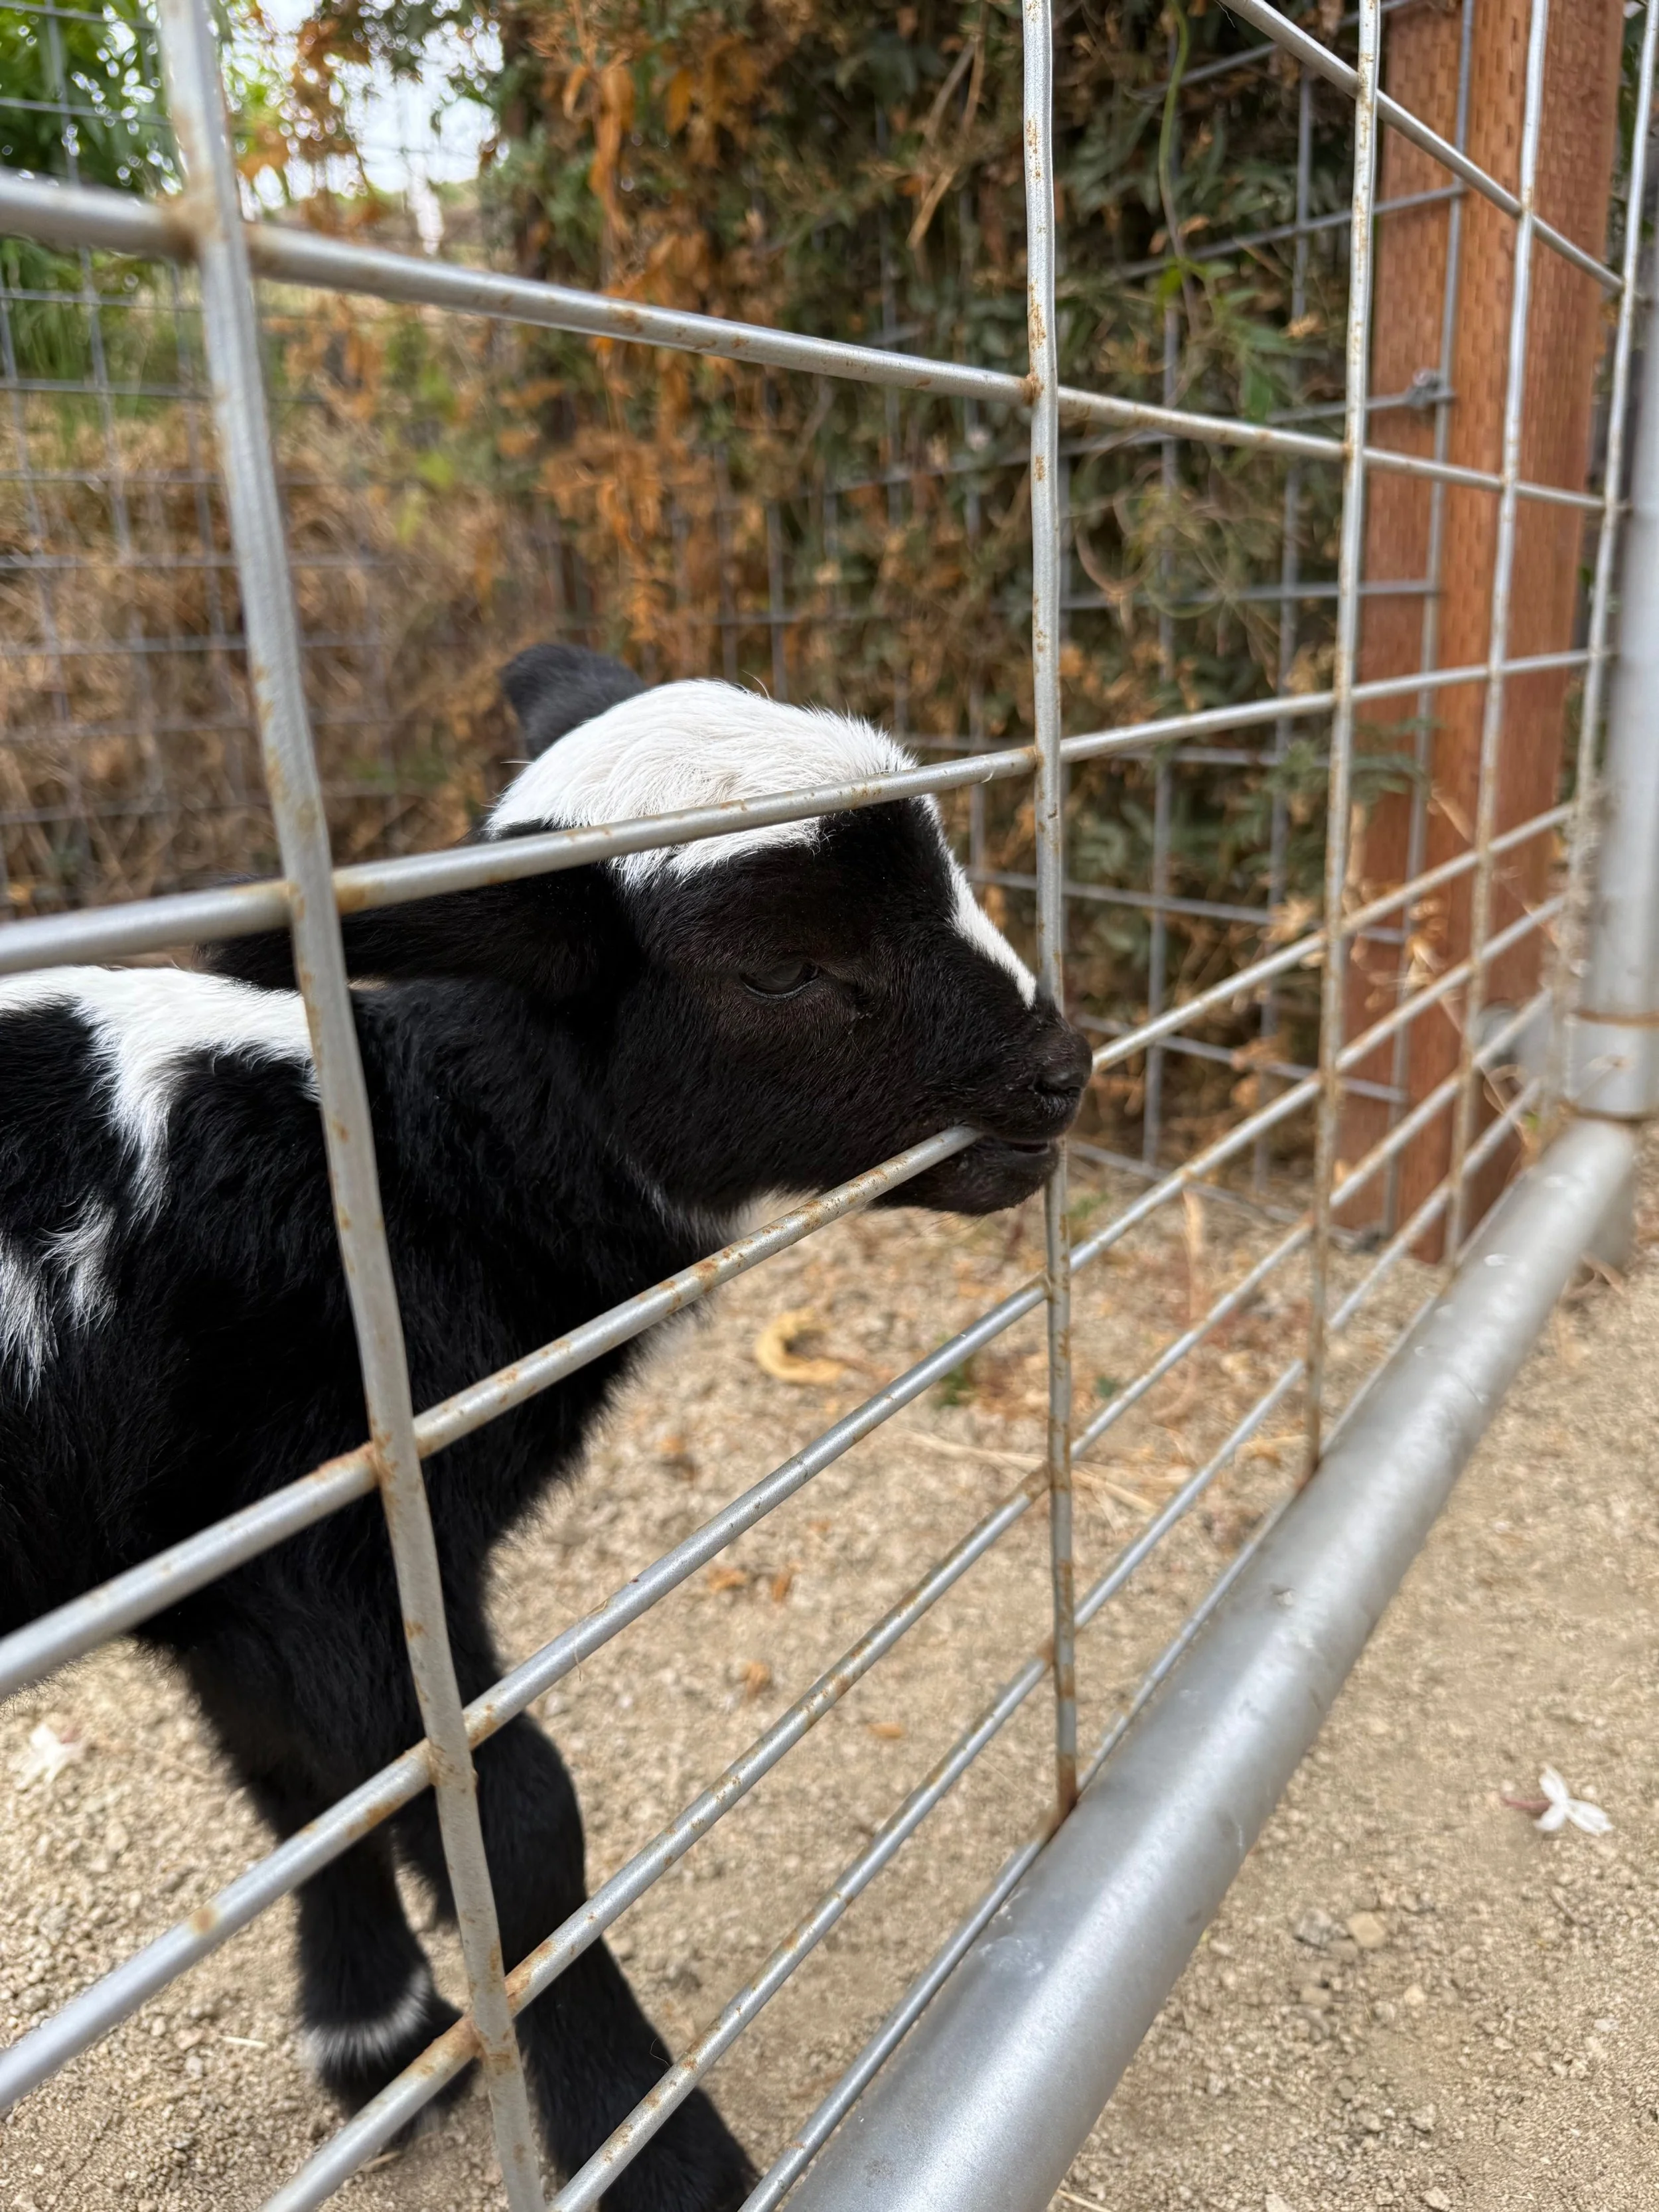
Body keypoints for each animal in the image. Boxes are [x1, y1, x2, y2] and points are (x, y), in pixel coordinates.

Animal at [0, 651, 1092, 2209]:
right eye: (782, 967)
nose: (1059, 1068)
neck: (403, 1171)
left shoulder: (214, 1560)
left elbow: (299, 1790)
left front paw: (376, 2037)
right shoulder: (333, 1545)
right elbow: (509, 1822)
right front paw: (656, 2145)